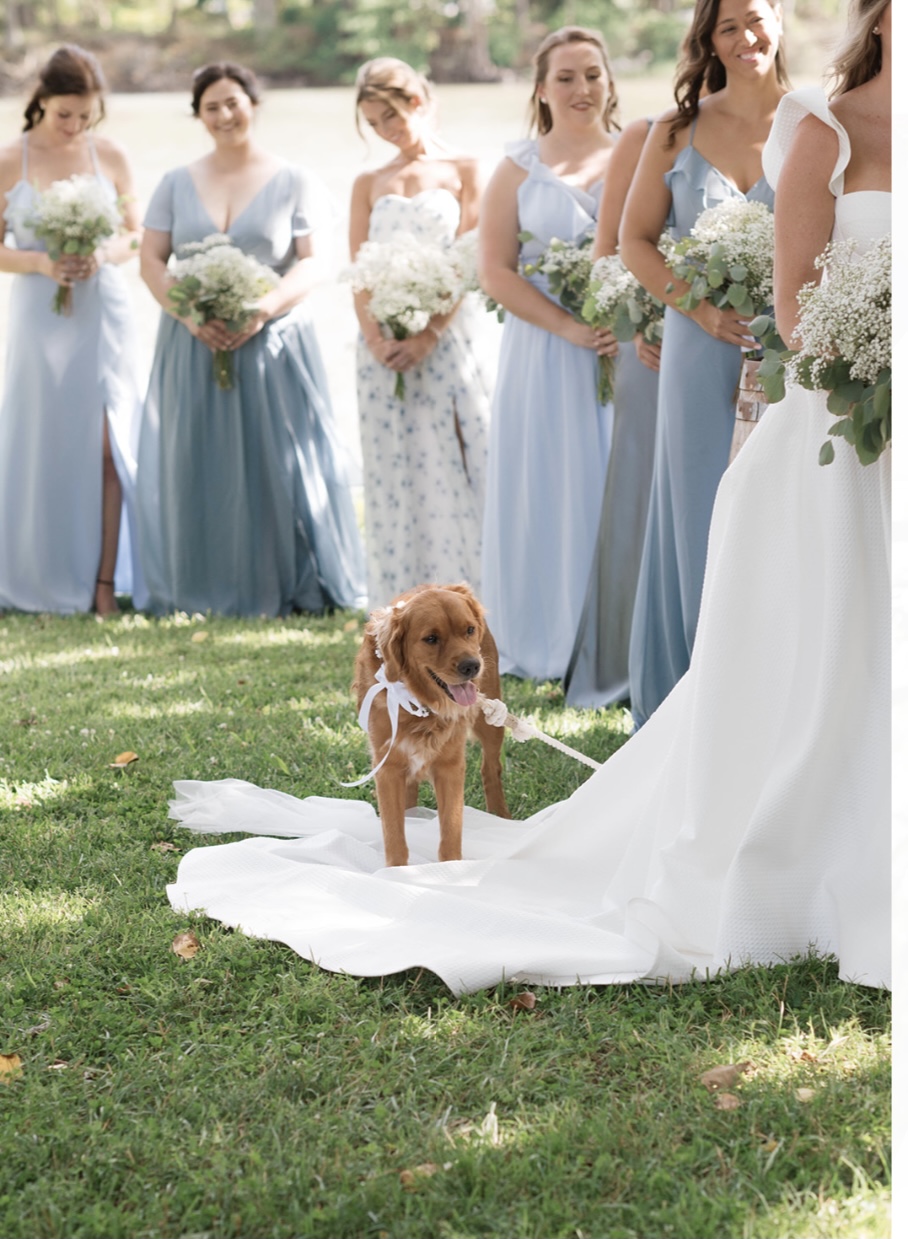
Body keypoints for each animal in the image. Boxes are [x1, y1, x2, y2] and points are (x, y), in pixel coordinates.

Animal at [351, 582, 510, 867]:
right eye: (431, 639)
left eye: (469, 630)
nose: (472, 666)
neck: (421, 703)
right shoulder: (388, 767)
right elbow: (394, 834)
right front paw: (396, 872)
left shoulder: (450, 766)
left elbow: (450, 831)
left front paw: (449, 870)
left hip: (491, 723)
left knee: (491, 769)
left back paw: (500, 815)